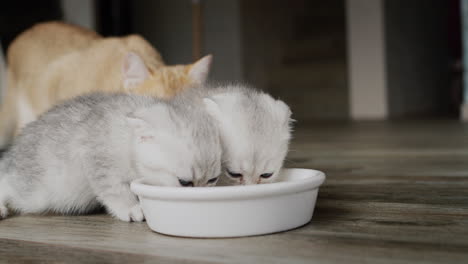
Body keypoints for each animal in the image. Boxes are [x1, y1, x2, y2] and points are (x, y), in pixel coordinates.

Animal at [0, 92, 222, 221]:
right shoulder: (96, 158)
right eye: (184, 182)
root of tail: (13, 151)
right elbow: (115, 189)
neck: (128, 139)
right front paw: (131, 208)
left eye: (213, 180)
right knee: (6, 182)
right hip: (35, 191)